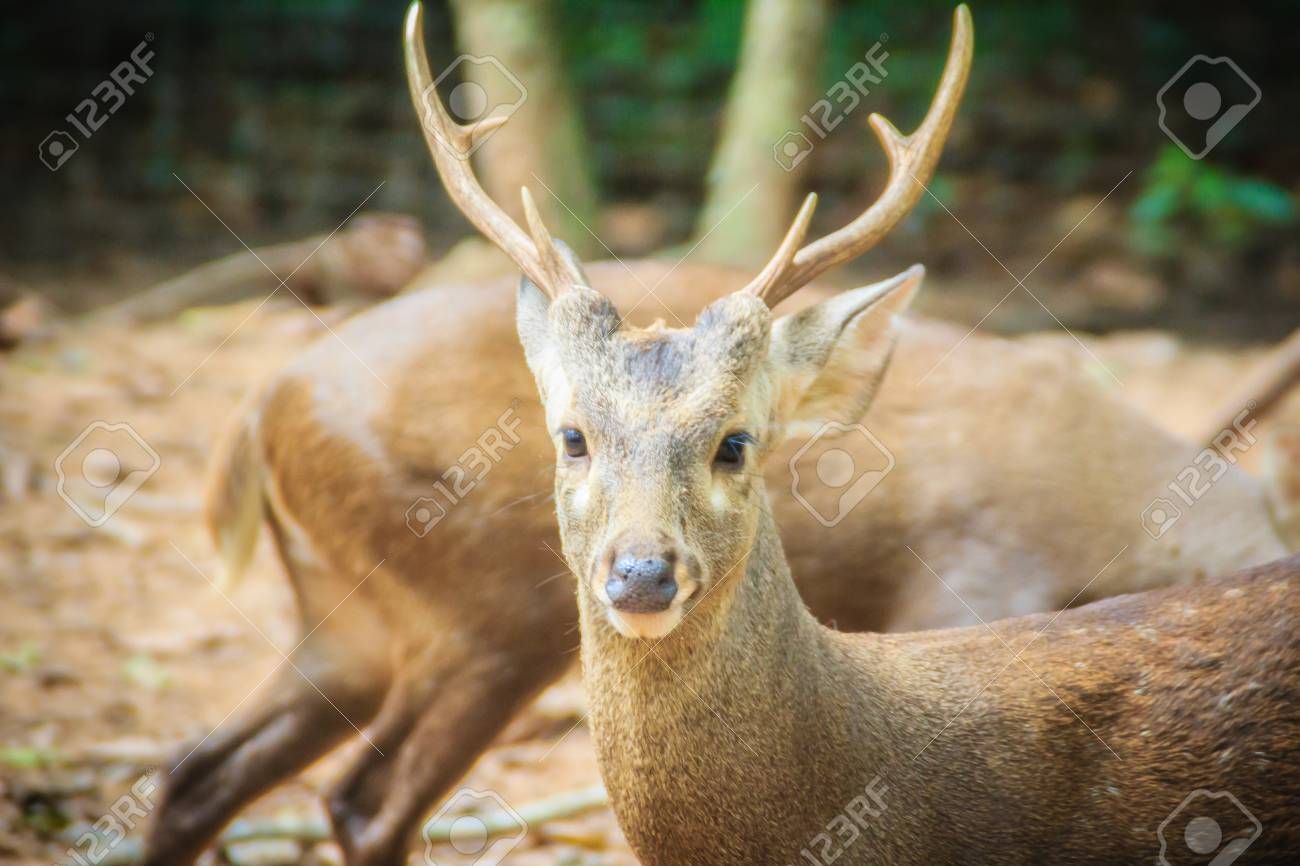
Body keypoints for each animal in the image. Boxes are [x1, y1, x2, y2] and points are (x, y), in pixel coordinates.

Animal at [143, 4, 1294, 865]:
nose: (642, 572)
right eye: (571, 435)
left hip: (356, 624)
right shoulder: (971, 574)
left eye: (736, 441)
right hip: (471, 614)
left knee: (206, 771)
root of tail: (260, 405)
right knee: (350, 795)